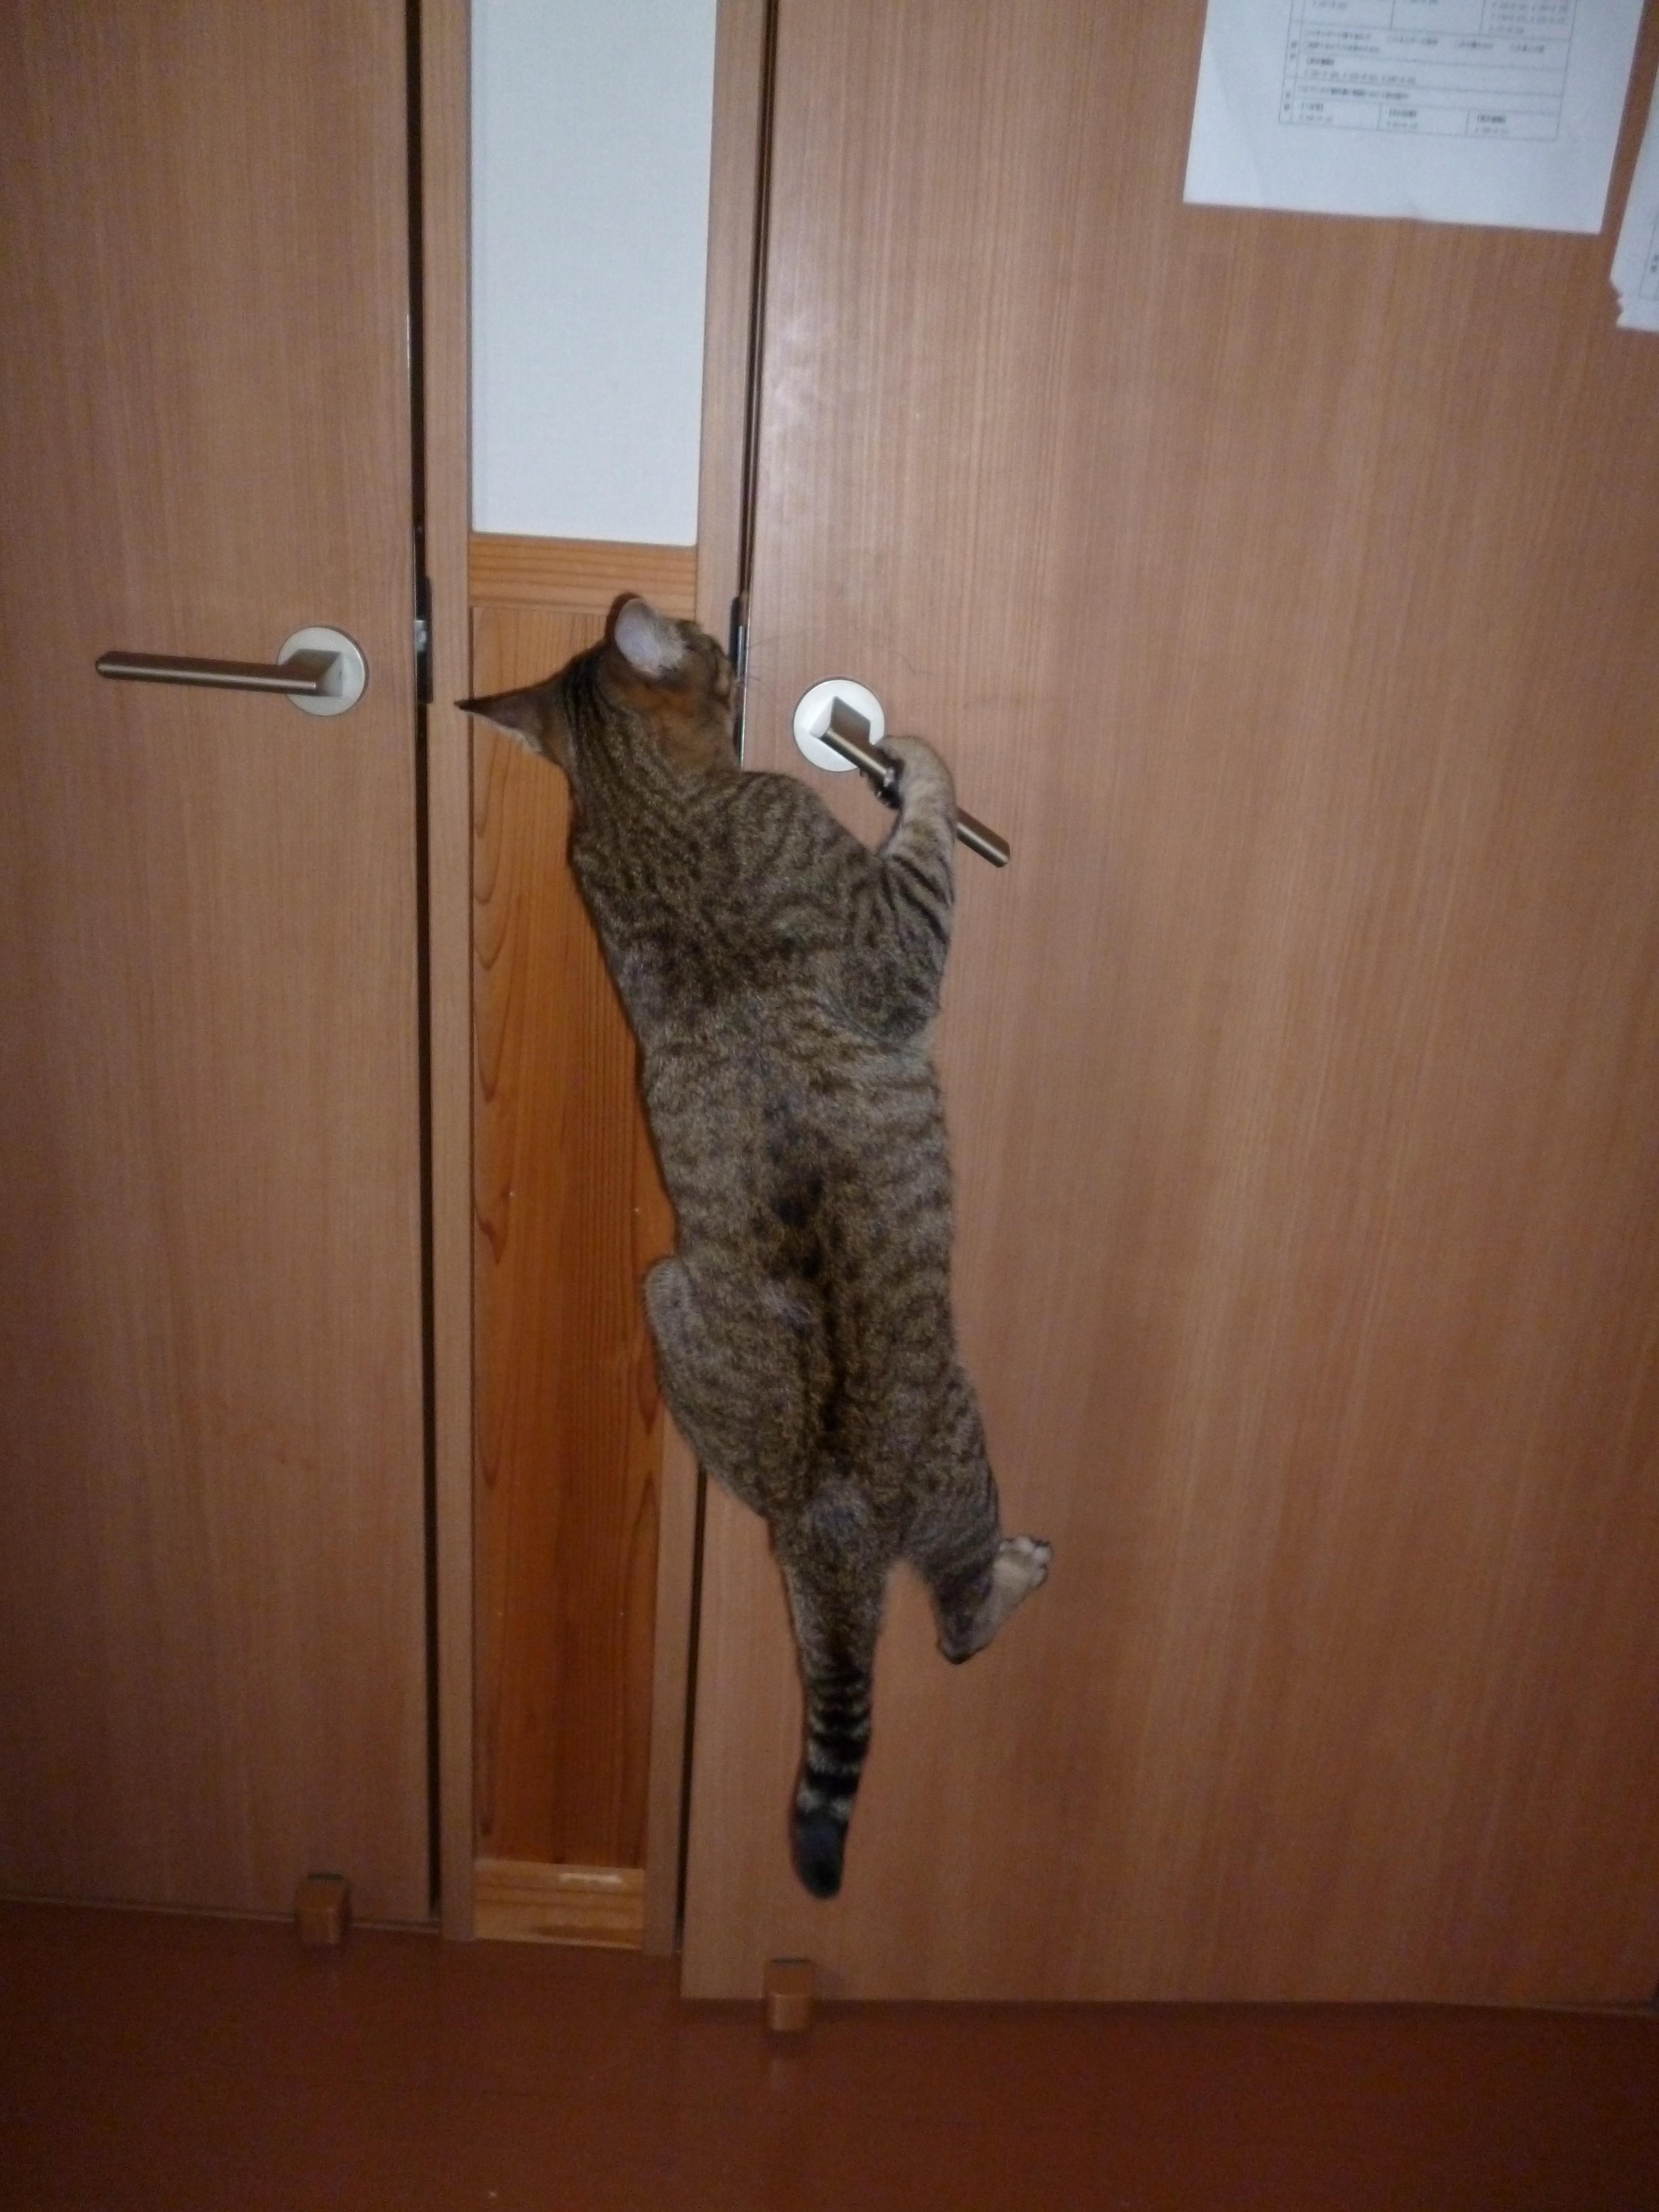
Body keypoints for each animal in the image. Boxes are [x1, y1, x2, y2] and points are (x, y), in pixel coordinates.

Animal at [461, 598, 1050, 1899]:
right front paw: (920, 772)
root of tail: (822, 1514)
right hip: (960, 1463)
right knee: (957, 1625)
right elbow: (925, 850)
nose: (696, 618)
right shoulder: (891, 949)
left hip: (669, 1301)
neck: (644, 807)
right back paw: (1011, 1578)